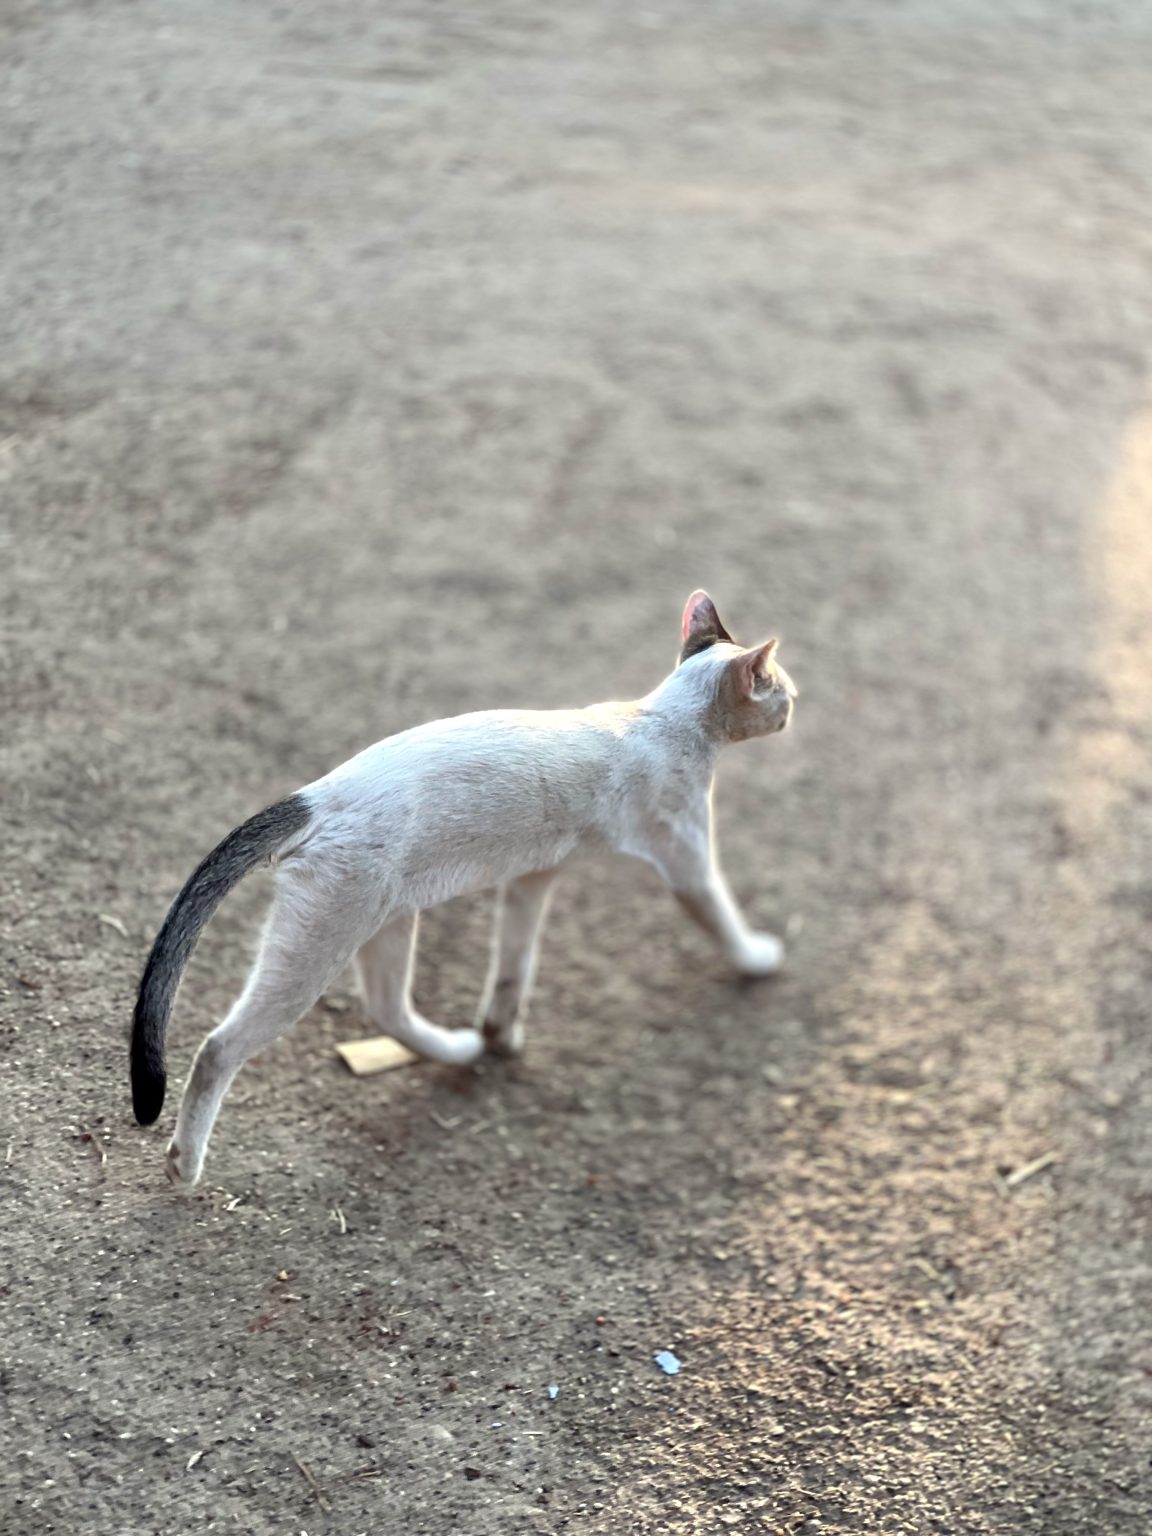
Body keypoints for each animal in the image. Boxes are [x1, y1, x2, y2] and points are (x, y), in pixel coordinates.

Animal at [131, 590, 797, 1186]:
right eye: (782, 688)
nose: (797, 704)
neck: (661, 720)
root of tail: (318, 795)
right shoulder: (687, 861)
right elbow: (725, 921)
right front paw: (759, 959)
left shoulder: (533, 879)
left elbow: (514, 964)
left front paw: (502, 1034)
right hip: (321, 948)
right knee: (219, 1047)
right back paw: (184, 1167)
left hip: (386, 922)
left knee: (389, 1009)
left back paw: (462, 1048)